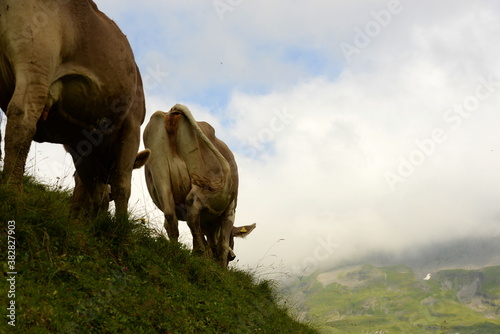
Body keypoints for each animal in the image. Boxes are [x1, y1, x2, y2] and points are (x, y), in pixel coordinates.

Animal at [0, 0, 146, 217]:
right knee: (22, 120)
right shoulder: (133, 125)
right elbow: (122, 185)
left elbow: (90, 188)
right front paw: (119, 225)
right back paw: (12, 194)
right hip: (37, 56)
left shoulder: (81, 147)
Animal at [143, 104, 256, 266]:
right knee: (192, 210)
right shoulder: (230, 209)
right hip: (203, 184)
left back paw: (176, 253)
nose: (232, 257)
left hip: (159, 171)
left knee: (170, 217)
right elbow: (221, 245)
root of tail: (171, 112)